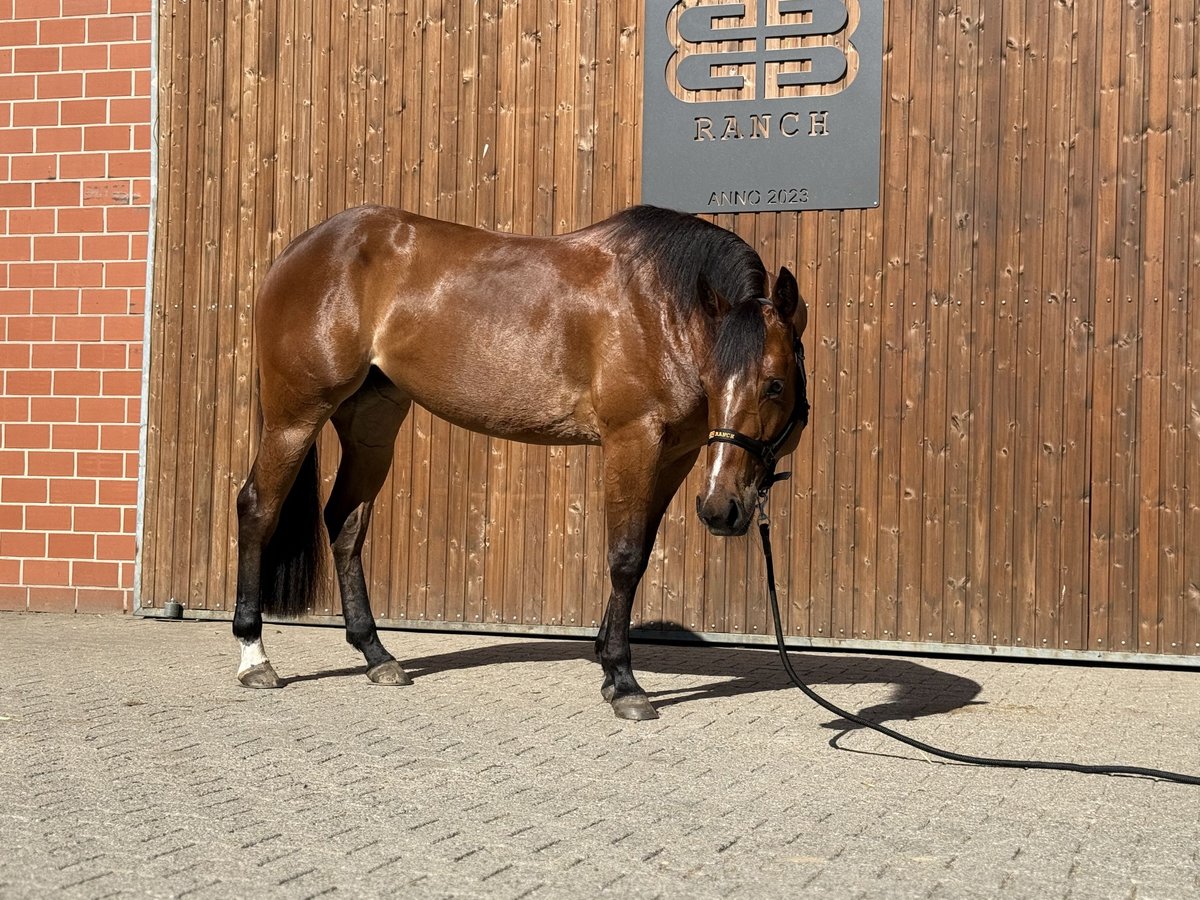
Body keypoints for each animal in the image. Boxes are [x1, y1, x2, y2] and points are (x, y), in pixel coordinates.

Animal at [234, 204, 810, 720]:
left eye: (774, 384)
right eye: (720, 382)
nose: (721, 509)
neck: (657, 306)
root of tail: (298, 250)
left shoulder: (677, 455)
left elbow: (641, 554)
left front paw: (608, 667)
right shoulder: (632, 442)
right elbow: (624, 558)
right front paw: (625, 683)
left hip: (372, 425)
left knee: (346, 524)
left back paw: (377, 655)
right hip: (295, 416)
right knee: (258, 508)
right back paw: (255, 657)